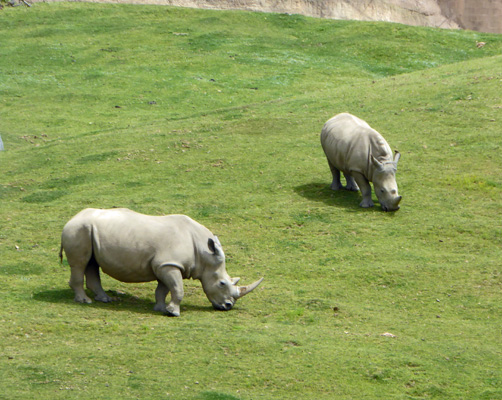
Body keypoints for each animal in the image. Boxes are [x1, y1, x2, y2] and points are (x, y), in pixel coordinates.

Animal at [59, 208, 262, 318]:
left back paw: (105, 299)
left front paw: (162, 308)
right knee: (80, 264)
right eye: (222, 283)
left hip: (88, 230)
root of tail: (71, 219)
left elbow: (163, 289)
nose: (228, 306)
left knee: (91, 263)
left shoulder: (166, 265)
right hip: (78, 229)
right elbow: (178, 288)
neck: (204, 253)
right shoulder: (169, 264)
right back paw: (85, 301)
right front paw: (174, 313)